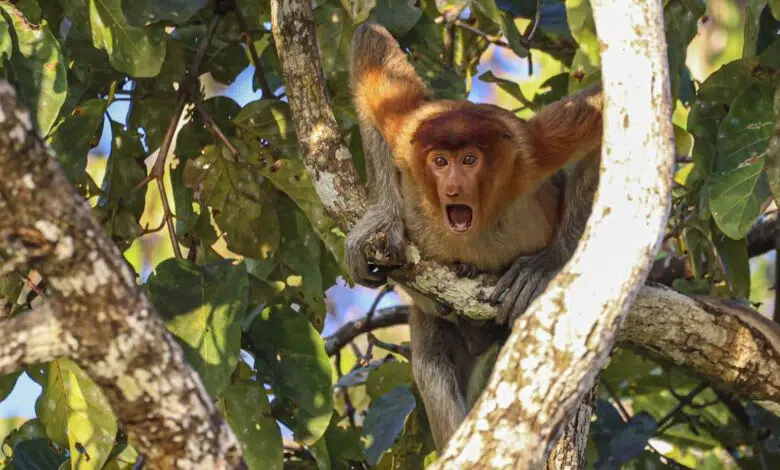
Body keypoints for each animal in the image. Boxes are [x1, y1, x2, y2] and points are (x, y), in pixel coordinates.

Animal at [345, 23, 602, 450]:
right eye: (440, 161)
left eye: (470, 160)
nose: (452, 189)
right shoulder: (406, 134)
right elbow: (371, 49)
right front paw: (384, 219)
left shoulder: (530, 153)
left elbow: (603, 115)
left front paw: (545, 264)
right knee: (432, 366)